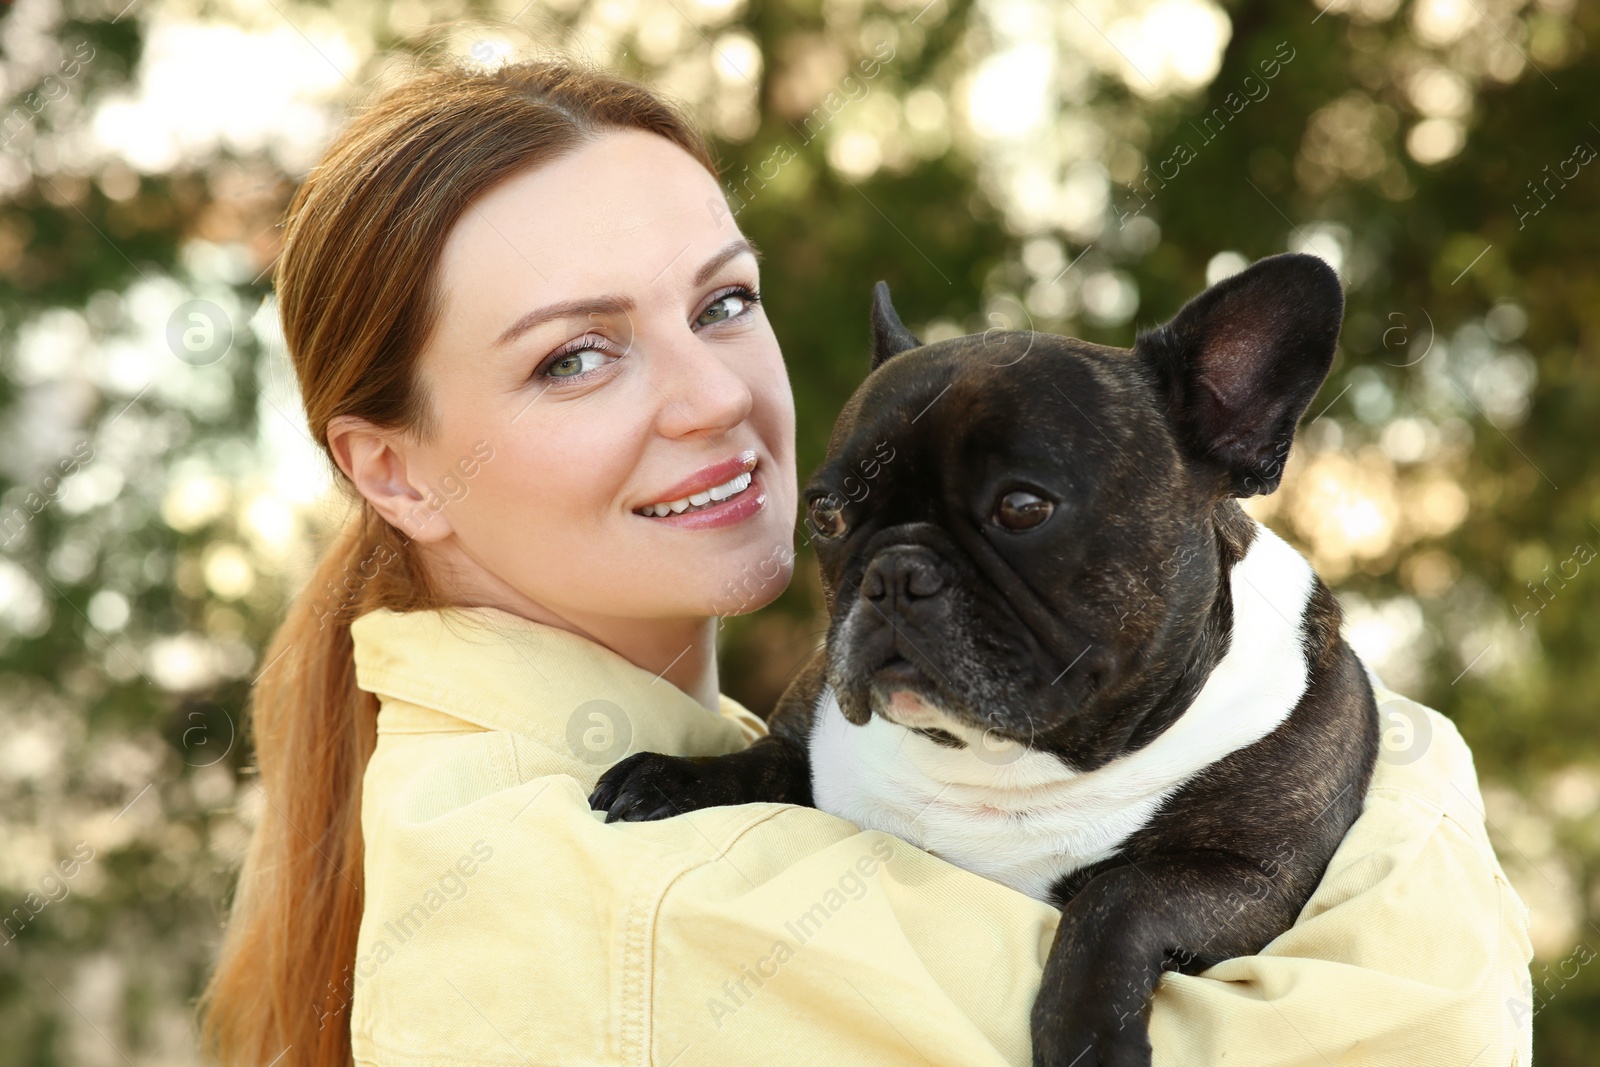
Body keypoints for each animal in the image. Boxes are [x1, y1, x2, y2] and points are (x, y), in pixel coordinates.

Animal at [588, 254, 1376, 1062]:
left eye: (1023, 508)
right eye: (826, 514)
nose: (894, 572)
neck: (1005, 761)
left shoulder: (1252, 878)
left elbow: (1117, 897)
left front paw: (1087, 1034)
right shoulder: (799, 743)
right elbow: (763, 760)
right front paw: (672, 776)